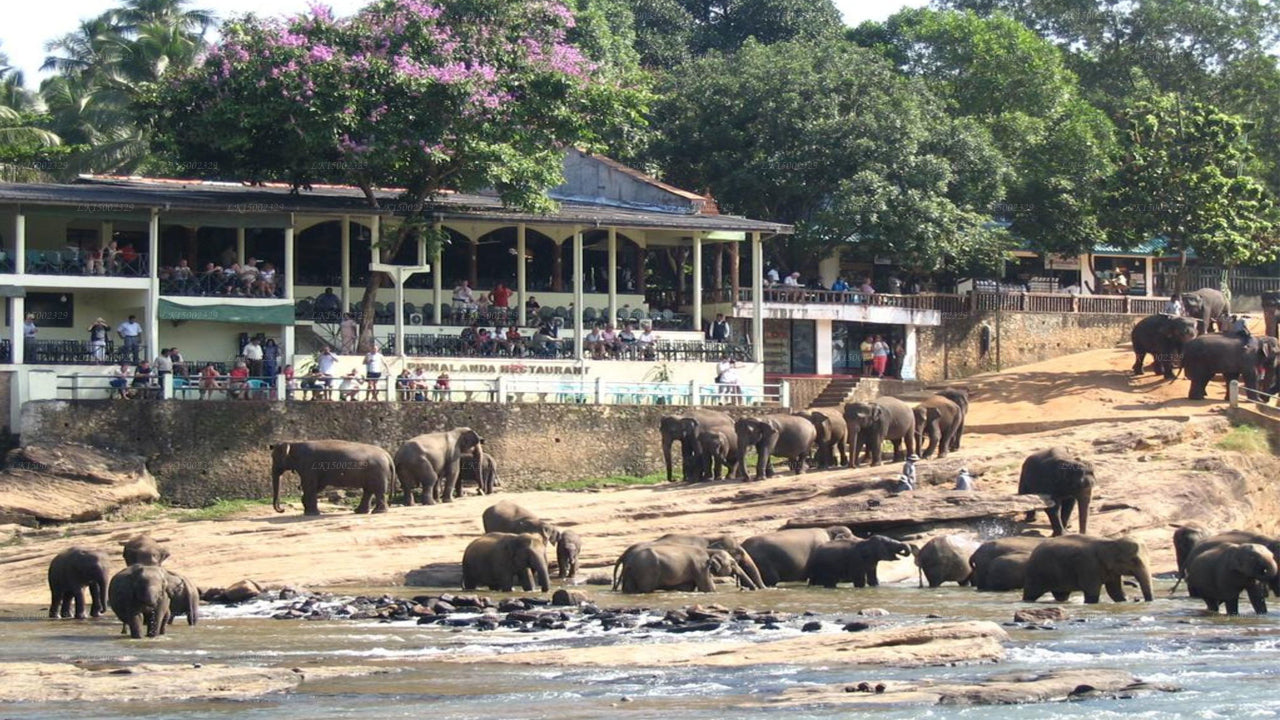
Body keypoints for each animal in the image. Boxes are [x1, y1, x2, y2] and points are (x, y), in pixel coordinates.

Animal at [1013, 530, 1157, 602]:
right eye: (1134, 560)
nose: (1138, 599)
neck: (1110, 542)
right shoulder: (1089, 567)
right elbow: (1092, 593)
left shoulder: (1112, 571)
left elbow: (1115, 592)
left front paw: (1124, 599)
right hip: (1036, 573)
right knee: (1031, 594)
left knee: (1061, 595)